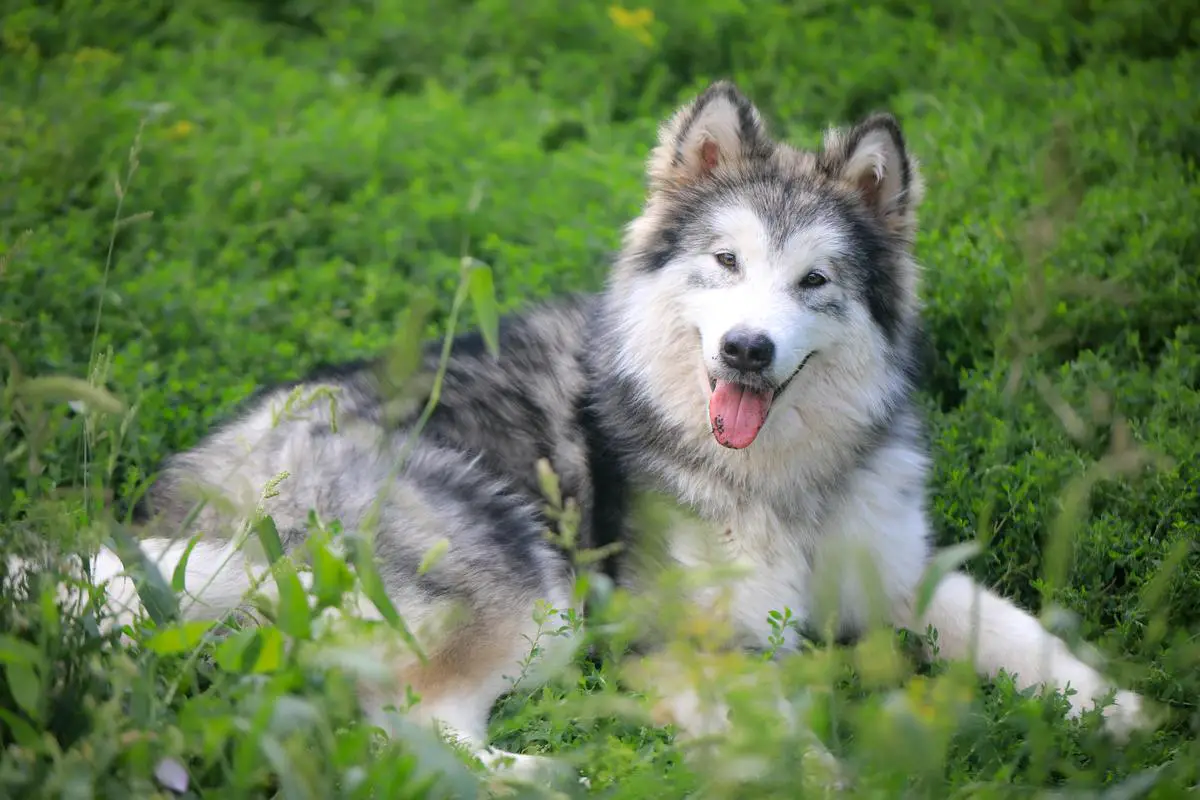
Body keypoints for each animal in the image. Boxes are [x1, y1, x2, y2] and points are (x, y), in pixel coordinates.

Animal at [14, 79, 1147, 786]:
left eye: (815, 281)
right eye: (726, 262)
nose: (746, 350)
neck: (776, 482)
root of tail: (192, 500)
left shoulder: (899, 572)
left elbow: (1016, 626)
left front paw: (1120, 707)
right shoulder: (680, 640)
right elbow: (780, 732)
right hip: (530, 587)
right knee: (406, 729)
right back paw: (560, 772)